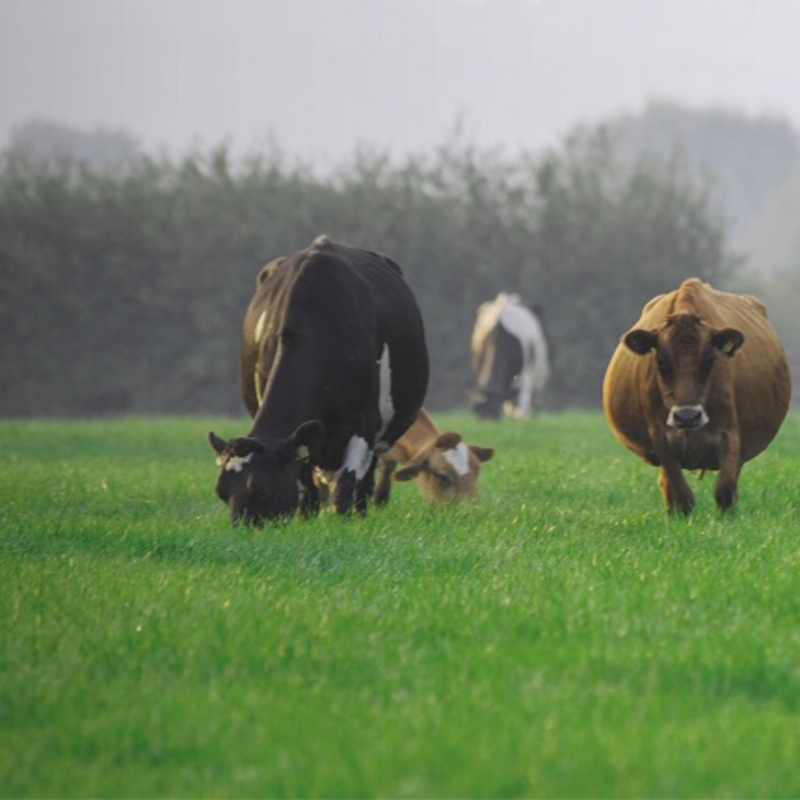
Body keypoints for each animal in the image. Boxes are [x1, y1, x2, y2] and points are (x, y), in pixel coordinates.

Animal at [209, 236, 428, 524]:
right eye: (221, 492)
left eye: (262, 489)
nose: (242, 528)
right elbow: (306, 486)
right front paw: (306, 519)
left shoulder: (364, 422)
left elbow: (346, 487)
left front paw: (344, 520)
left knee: (365, 481)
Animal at [604, 278, 792, 516]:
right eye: (661, 362)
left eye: (710, 360)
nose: (687, 416)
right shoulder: (661, 438)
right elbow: (681, 493)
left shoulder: (730, 435)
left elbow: (725, 490)